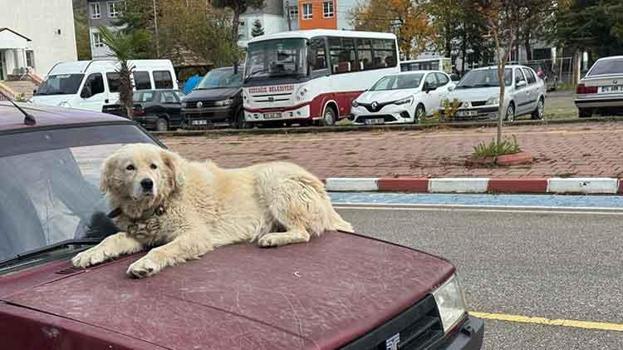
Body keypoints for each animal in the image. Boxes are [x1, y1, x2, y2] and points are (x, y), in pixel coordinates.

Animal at [71, 144, 354, 278]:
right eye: (130, 168)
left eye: (153, 166)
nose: (147, 184)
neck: (159, 204)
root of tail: (321, 189)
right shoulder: (139, 233)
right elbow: (112, 239)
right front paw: (89, 254)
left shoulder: (195, 234)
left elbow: (162, 249)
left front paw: (145, 264)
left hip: (273, 179)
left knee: (303, 232)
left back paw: (273, 238)